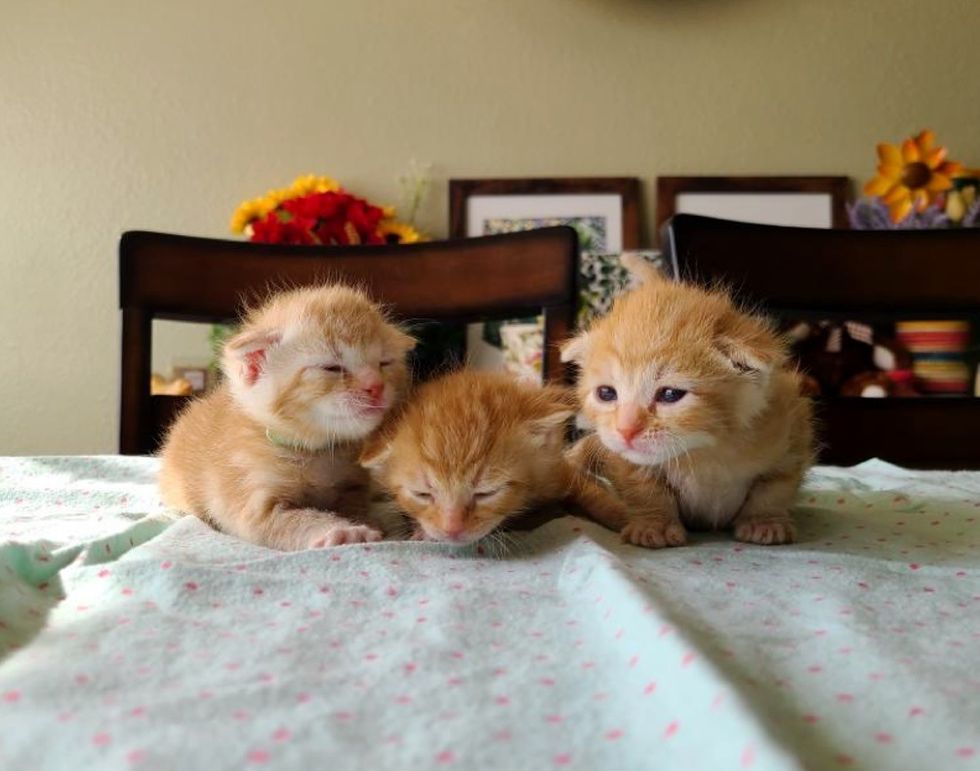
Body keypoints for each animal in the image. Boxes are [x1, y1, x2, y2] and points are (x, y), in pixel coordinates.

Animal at [156, 286, 414, 552]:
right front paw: (342, 531)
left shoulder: (353, 485)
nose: (376, 387)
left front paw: (368, 524)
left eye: (384, 363)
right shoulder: (250, 498)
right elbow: (297, 520)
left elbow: (357, 507)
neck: (315, 450)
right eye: (332, 367)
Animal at [564, 258, 816, 548]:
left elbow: (775, 488)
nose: (625, 430)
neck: (703, 452)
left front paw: (764, 522)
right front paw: (655, 525)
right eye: (606, 393)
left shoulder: (790, 434)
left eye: (670, 395)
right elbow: (645, 488)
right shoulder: (627, 461)